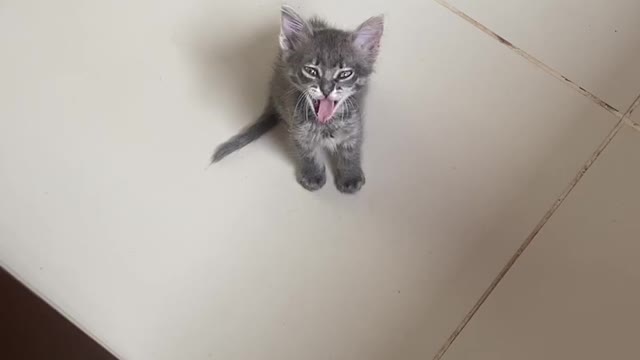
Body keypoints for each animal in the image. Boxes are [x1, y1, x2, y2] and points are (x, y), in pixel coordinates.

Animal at [211, 4, 384, 194]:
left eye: (345, 74)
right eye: (311, 71)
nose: (326, 90)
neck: (325, 124)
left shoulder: (354, 123)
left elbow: (351, 150)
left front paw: (350, 176)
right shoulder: (297, 129)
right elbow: (307, 153)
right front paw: (312, 175)